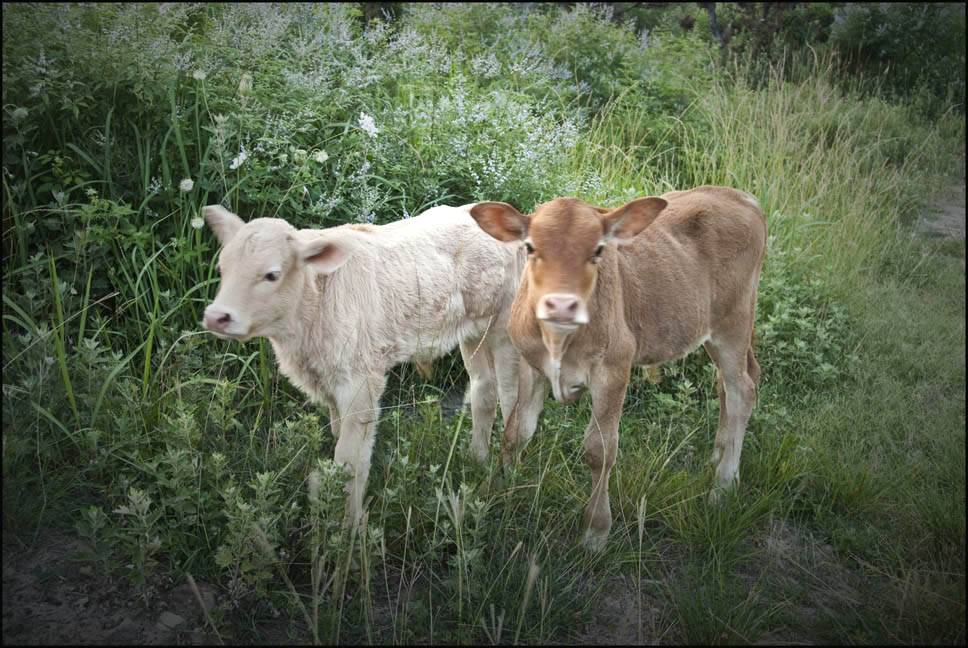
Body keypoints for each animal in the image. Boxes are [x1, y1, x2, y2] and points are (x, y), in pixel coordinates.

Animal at [472, 186, 768, 552]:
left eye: (598, 250)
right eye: (530, 247)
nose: (561, 305)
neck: (560, 342)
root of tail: (738, 195)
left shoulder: (613, 370)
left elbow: (600, 449)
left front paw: (596, 531)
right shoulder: (531, 365)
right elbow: (515, 432)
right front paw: (495, 491)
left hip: (734, 323)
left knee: (742, 390)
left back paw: (723, 485)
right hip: (713, 330)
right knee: (729, 383)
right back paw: (719, 453)